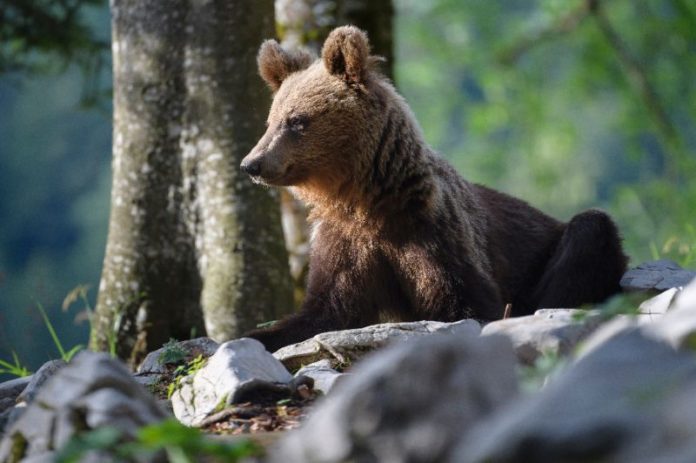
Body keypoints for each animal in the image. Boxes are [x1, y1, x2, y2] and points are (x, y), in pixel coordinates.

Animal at [240, 26, 628, 352]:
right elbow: (323, 312)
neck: (367, 199)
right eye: (271, 121)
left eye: (297, 121)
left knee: (590, 230)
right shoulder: (346, 243)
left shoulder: (433, 233)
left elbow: (466, 304)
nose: (251, 164)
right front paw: (256, 335)